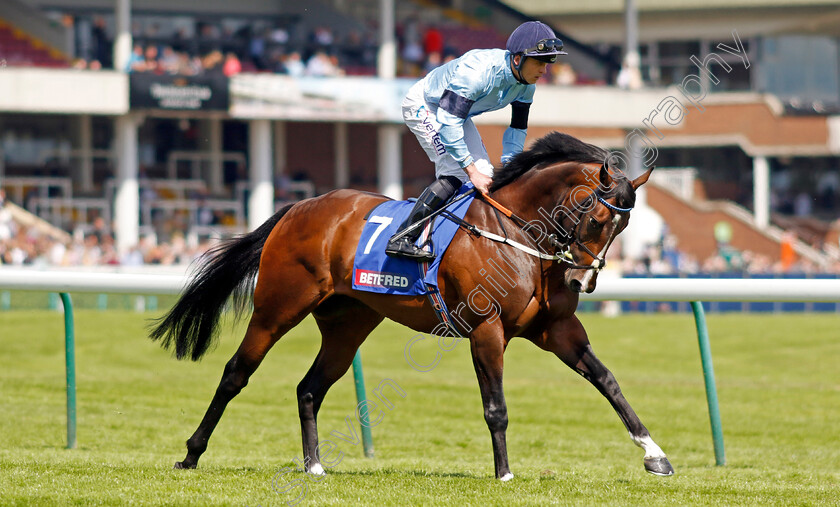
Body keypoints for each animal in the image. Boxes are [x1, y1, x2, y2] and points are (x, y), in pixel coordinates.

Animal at [153, 131, 676, 480]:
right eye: (597, 217)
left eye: (624, 227)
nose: (581, 279)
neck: (519, 237)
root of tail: (299, 207)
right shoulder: (486, 329)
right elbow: (496, 407)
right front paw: (505, 474)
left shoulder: (558, 330)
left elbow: (608, 382)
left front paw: (655, 454)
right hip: (277, 307)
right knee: (236, 372)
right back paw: (191, 453)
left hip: (349, 324)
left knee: (309, 388)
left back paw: (314, 465)